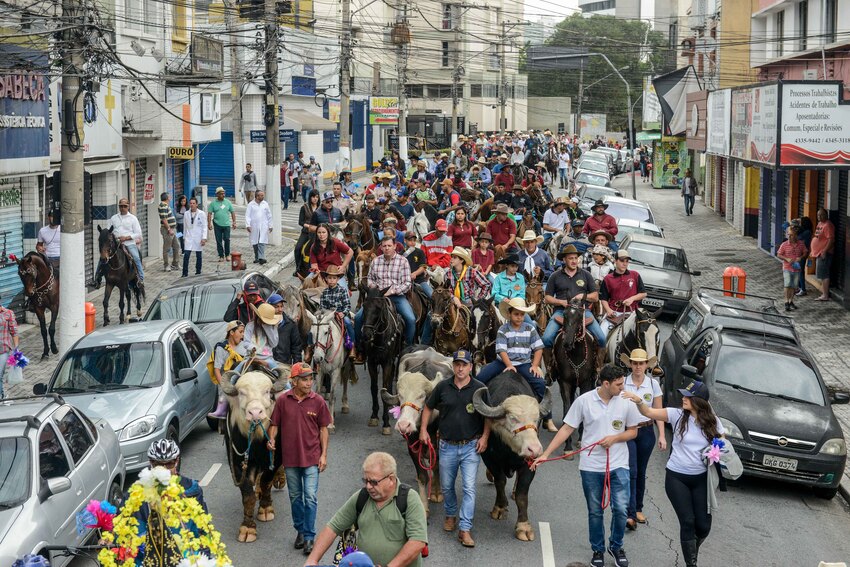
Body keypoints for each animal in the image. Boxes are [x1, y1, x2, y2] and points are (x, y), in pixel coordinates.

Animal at [358, 286, 404, 438]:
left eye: (379, 308)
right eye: (364, 306)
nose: (366, 335)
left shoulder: (387, 363)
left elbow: (384, 387)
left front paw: (386, 424)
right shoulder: (372, 362)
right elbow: (374, 388)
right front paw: (374, 416)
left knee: (389, 384)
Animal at [548, 304, 596, 454]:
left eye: (580, 316)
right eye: (564, 314)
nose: (567, 343)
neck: (575, 355)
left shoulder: (586, 382)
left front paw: (581, 438)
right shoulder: (565, 382)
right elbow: (568, 407)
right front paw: (568, 446)